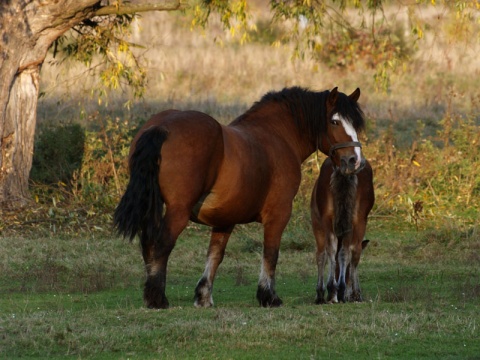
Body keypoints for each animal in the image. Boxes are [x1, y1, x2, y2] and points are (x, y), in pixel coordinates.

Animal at [114, 86, 366, 308]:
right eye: (334, 121)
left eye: (355, 124)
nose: (354, 161)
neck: (277, 135)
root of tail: (161, 127)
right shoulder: (278, 214)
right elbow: (271, 253)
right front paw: (268, 296)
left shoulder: (225, 219)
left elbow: (215, 255)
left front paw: (203, 297)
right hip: (178, 210)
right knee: (162, 244)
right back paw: (157, 298)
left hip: (152, 206)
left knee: (148, 244)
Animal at [312, 155, 376, 304]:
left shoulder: (317, 222)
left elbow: (321, 255)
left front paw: (322, 292)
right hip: (358, 219)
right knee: (352, 250)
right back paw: (345, 291)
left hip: (327, 218)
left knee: (332, 249)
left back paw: (332, 289)